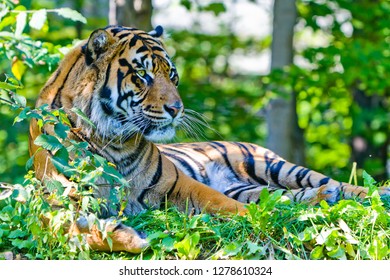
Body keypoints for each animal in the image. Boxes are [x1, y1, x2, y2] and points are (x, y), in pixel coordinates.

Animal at [28, 25, 390, 254]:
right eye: (143, 74)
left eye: (172, 75)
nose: (176, 108)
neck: (112, 140)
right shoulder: (55, 203)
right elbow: (73, 229)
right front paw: (130, 238)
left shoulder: (179, 185)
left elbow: (225, 206)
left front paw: (258, 221)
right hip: (252, 185)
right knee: (286, 197)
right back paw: (316, 199)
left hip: (273, 166)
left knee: (339, 185)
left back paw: (364, 194)